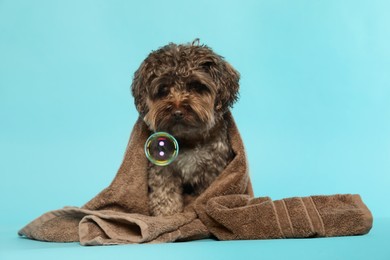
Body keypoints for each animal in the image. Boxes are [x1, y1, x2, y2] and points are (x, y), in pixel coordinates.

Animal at [132, 40, 241, 215]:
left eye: (195, 86)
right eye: (163, 89)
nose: (177, 112)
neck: (188, 138)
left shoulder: (213, 172)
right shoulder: (163, 170)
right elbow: (165, 198)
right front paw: (167, 216)